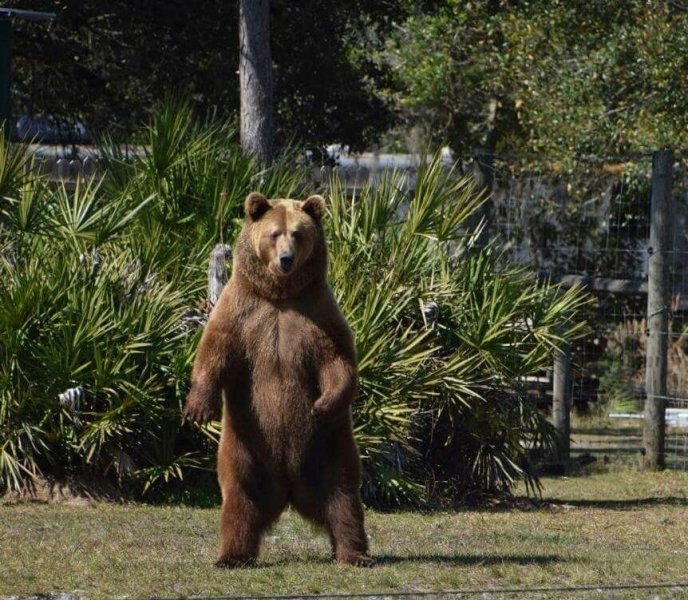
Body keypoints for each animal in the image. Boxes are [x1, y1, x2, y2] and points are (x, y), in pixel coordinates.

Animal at [183, 192, 374, 568]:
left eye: (298, 234)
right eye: (274, 233)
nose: (286, 259)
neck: (280, 295)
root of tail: (288, 490)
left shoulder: (318, 314)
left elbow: (338, 360)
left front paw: (323, 403)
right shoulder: (243, 311)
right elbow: (215, 351)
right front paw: (198, 409)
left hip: (329, 445)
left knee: (343, 496)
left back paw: (353, 553)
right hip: (245, 445)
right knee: (240, 496)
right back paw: (232, 555)